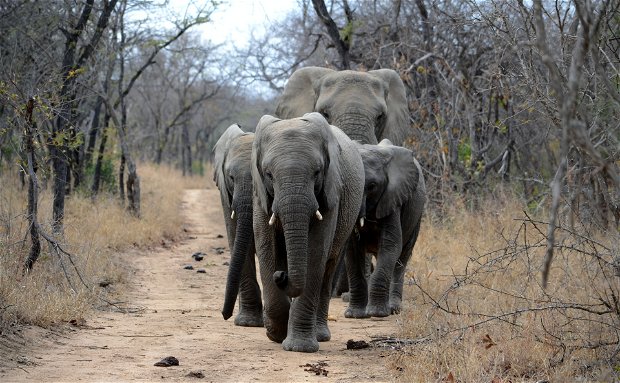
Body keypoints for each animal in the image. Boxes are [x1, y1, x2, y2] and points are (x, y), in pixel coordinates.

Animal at [252, 112, 366, 352]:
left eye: (317, 172)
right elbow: (266, 245)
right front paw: (276, 334)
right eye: (268, 174)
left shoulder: (332, 191)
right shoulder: (259, 193)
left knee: (328, 269)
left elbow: (315, 251)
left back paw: (320, 335)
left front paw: (298, 347)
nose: (281, 275)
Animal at [344, 140, 426, 320]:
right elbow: (352, 251)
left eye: (372, 186)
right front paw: (354, 315)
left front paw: (377, 313)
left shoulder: (393, 198)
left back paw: (393, 308)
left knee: (401, 259)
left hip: (416, 216)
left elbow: (391, 246)